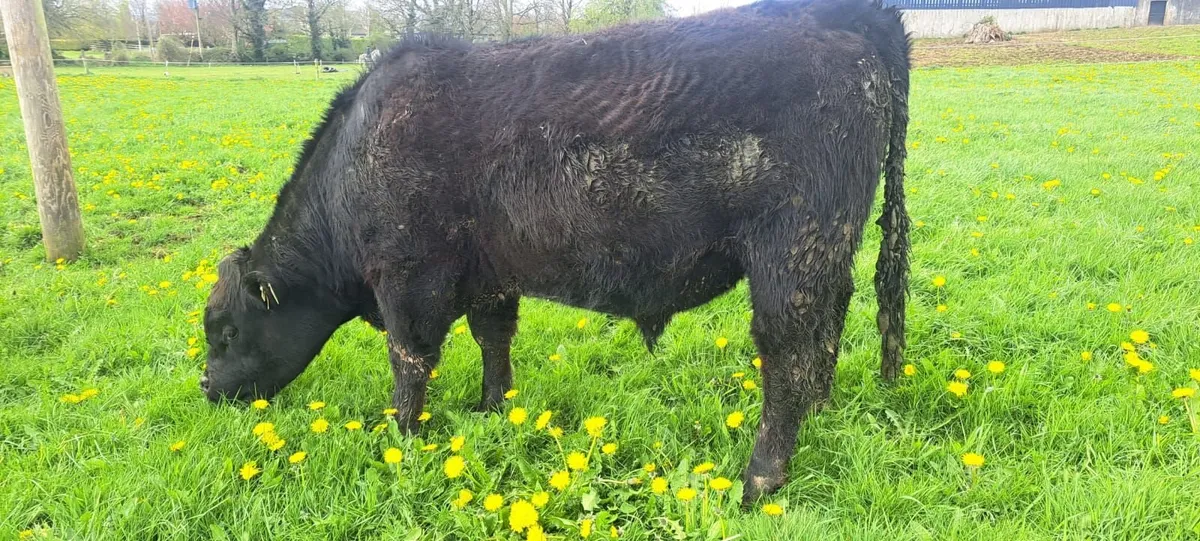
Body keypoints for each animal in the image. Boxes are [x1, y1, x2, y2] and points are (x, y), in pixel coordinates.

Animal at [201, 0, 911, 505]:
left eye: (227, 331)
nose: (207, 388)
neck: (358, 153)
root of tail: (847, 14)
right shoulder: (489, 275)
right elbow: (493, 338)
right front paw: (491, 409)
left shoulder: (408, 278)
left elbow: (411, 360)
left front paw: (405, 438)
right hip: (829, 246)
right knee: (828, 323)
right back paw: (818, 414)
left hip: (790, 248)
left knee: (787, 345)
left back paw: (762, 477)